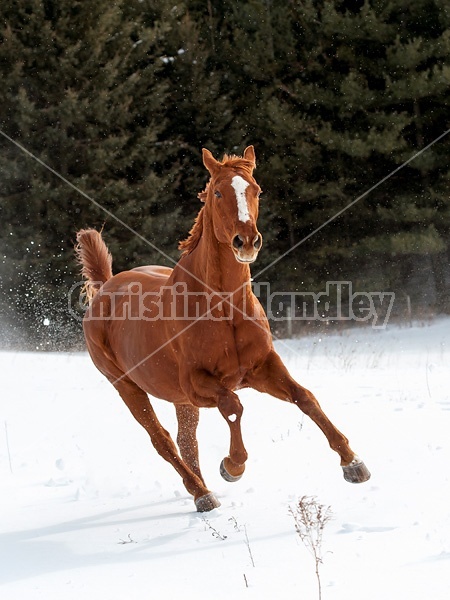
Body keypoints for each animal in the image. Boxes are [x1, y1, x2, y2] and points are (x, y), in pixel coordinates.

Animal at [74, 145, 370, 510]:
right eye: (217, 192)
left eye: (256, 190)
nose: (247, 241)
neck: (224, 308)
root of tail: (105, 288)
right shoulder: (199, 384)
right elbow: (233, 406)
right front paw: (232, 466)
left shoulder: (261, 367)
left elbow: (305, 398)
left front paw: (353, 463)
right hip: (127, 387)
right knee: (162, 440)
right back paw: (202, 492)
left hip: (179, 400)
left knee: (186, 440)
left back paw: (202, 491)